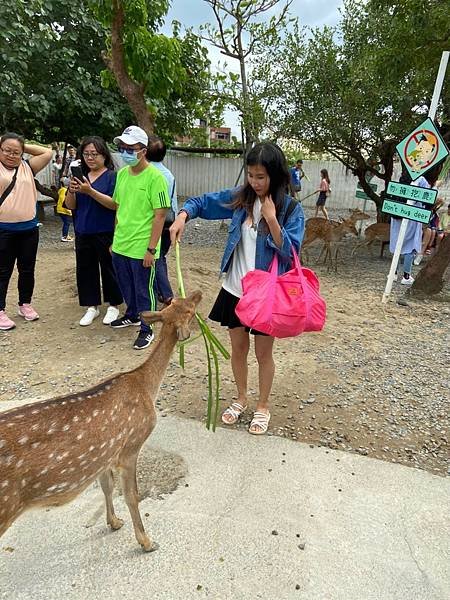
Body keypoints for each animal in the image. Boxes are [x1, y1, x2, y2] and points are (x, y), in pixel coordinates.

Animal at [0, 292, 201, 552]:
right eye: (189, 310)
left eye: (177, 300)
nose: (198, 294)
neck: (145, 385)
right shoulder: (131, 445)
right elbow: (131, 494)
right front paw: (146, 542)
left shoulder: (105, 453)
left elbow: (107, 486)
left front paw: (114, 522)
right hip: (5, 504)